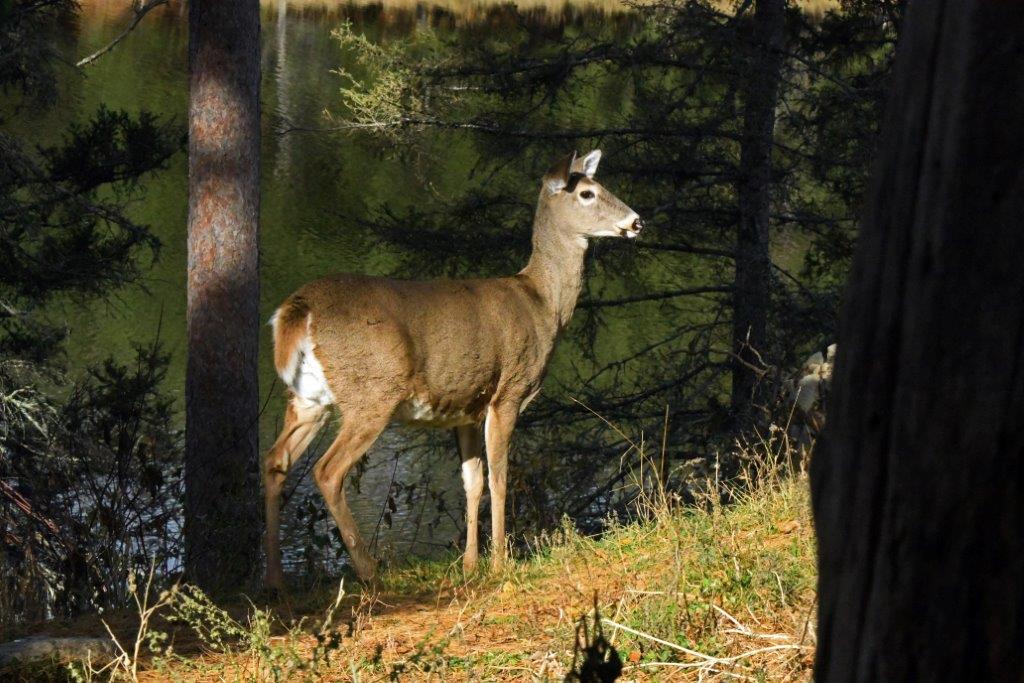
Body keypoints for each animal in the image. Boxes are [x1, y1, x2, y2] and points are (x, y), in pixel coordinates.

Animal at [263, 150, 643, 588]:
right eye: (587, 193)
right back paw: (371, 573)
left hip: (309, 398)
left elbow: (472, 481)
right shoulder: (509, 391)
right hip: (372, 392)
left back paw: (275, 582)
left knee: (274, 461)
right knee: (326, 471)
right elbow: (499, 477)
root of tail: (297, 309)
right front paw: (499, 564)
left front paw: (470, 564)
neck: (541, 304)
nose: (637, 221)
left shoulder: (467, 406)